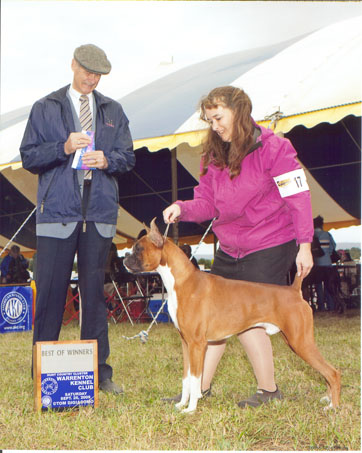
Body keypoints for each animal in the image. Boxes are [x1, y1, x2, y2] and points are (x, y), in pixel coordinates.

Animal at [123, 219, 340, 414]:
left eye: (138, 248)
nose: (124, 257)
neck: (182, 281)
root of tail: (294, 290)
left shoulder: (197, 345)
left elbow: (195, 379)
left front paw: (191, 409)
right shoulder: (186, 344)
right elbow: (186, 379)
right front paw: (181, 404)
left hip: (301, 342)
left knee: (333, 372)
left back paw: (333, 407)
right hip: (295, 341)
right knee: (327, 373)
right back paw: (328, 399)